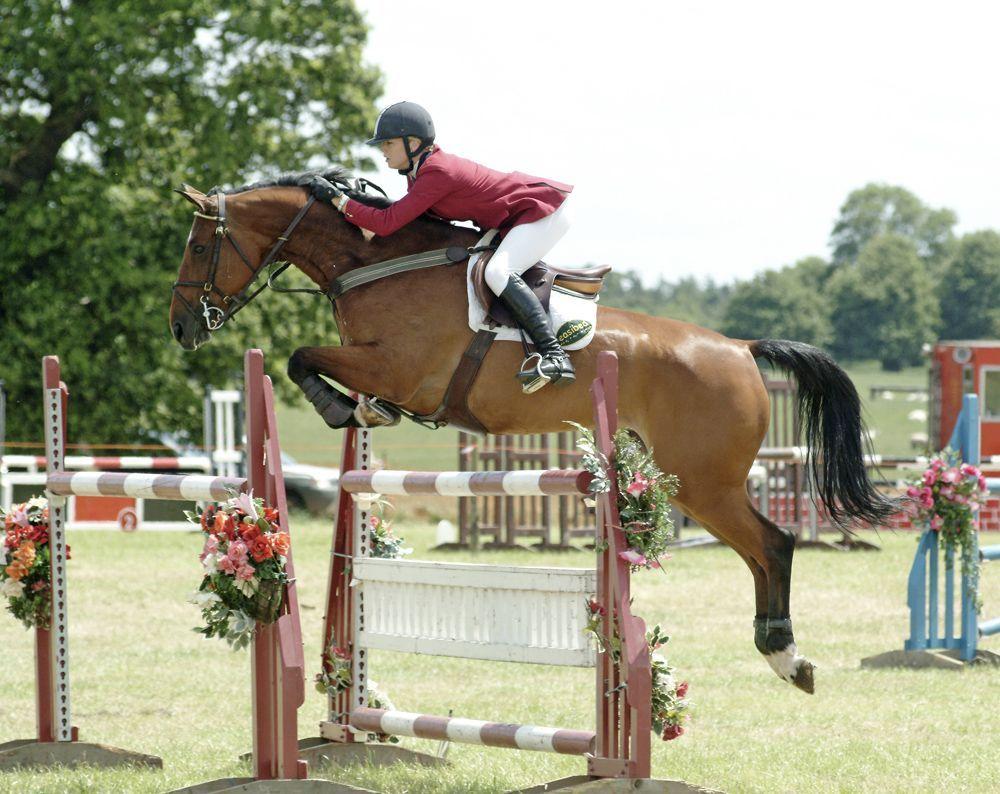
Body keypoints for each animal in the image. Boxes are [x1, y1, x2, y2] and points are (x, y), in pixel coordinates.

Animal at [169, 167, 897, 694]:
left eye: (200, 244)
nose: (181, 327)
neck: (372, 264)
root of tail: (742, 349)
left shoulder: (398, 367)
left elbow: (302, 358)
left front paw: (345, 408)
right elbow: (308, 363)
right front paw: (357, 411)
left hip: (703, 483)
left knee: (774, 544)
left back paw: (787, 656)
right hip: (695, 483)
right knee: (759, 552)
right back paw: (780, 651)